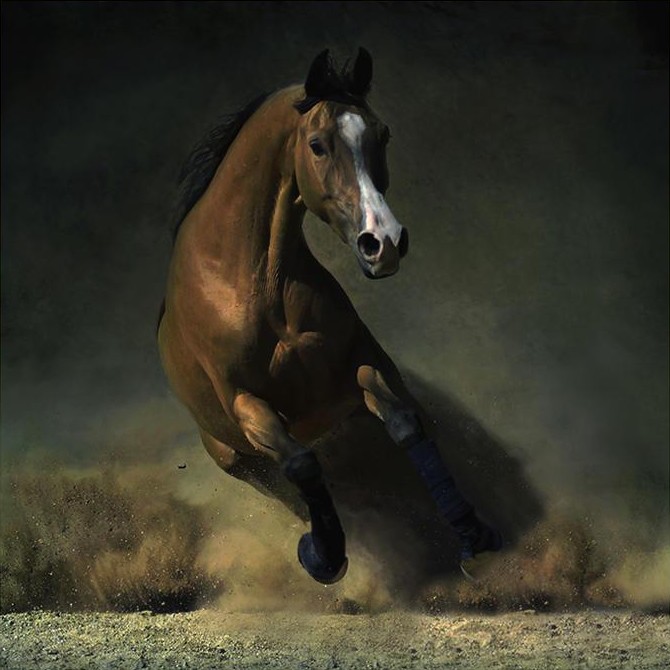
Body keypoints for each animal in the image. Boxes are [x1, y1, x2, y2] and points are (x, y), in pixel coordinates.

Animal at [158, 49, 502, 585]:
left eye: (383, 134)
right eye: (318, 145)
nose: (384, 243)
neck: (253, 282)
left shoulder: (361, 364)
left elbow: (407, 424)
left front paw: (470, 532)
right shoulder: (246, 402)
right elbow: (302, 465)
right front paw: (323, 555)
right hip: (231, 455)